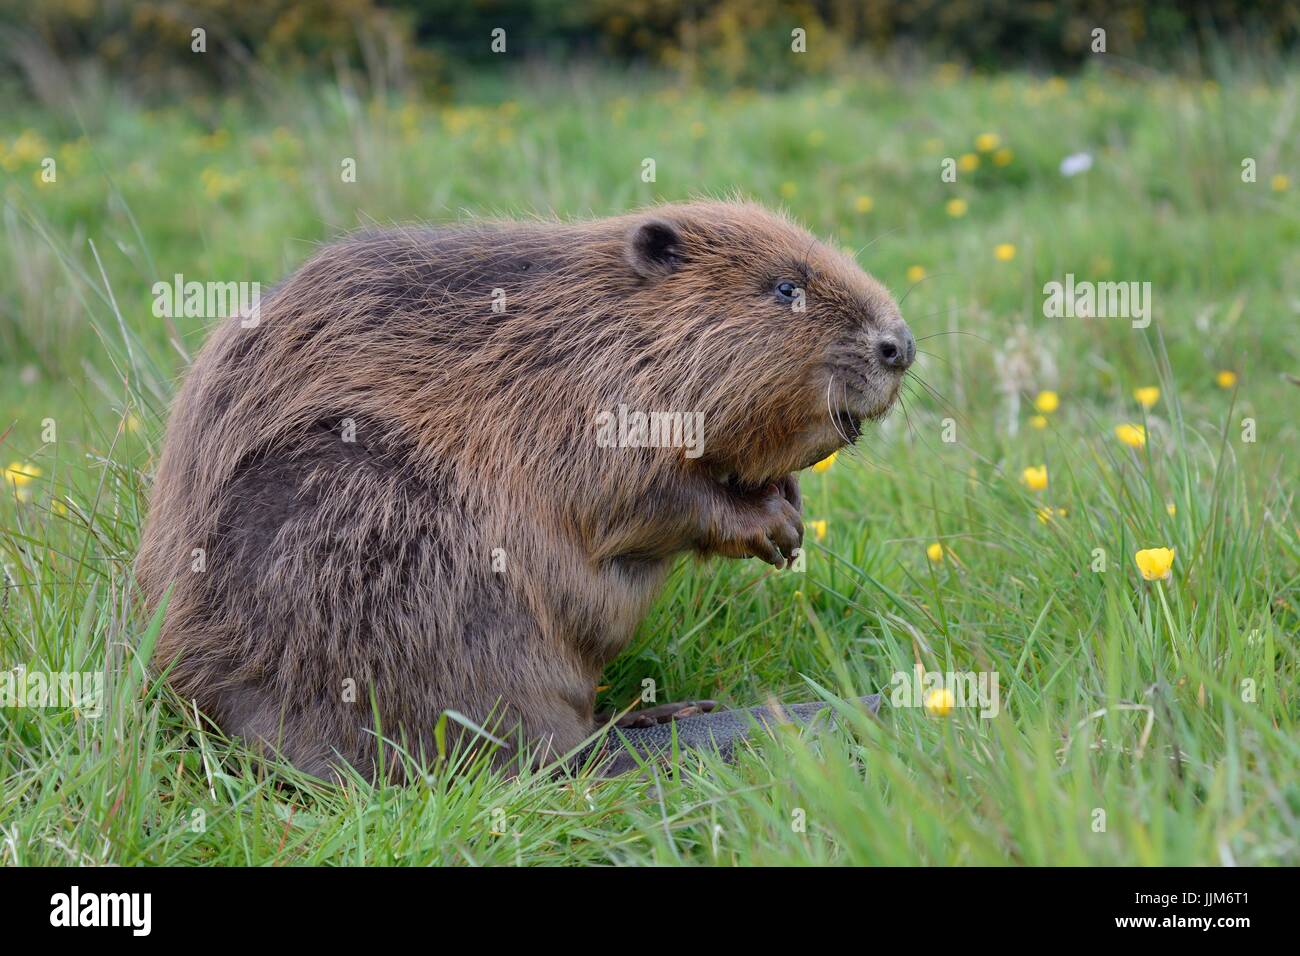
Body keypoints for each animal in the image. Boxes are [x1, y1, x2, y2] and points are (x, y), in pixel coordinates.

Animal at [137, 200, 915, 780]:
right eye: (787, 288)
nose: (899, 346)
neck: (590, 326)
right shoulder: (580, 404)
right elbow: (633, 499)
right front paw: (773, 530)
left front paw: (788, 504)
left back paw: (660, 715)